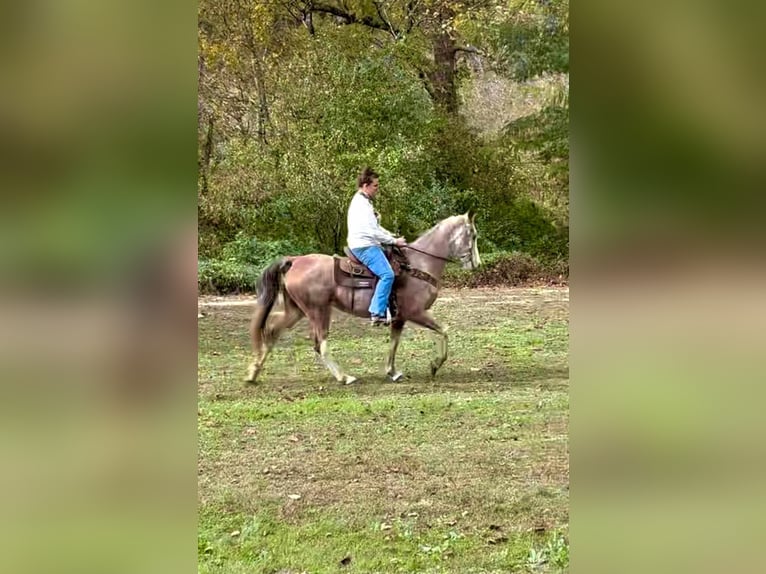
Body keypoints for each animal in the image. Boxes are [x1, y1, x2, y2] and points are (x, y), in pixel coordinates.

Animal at [246, 213, 484, 388]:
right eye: (473, 235)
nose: (477, 264)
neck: (419, 265)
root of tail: (294, 261)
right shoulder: (417, 312)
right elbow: (444, 330)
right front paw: (435, 365)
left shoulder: (399, 318)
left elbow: (394, 343)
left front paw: (392, 372)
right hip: (318, 311)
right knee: (320, 344)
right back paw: (344, 377)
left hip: (296, 310)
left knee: (272, 330)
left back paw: (253, 373)